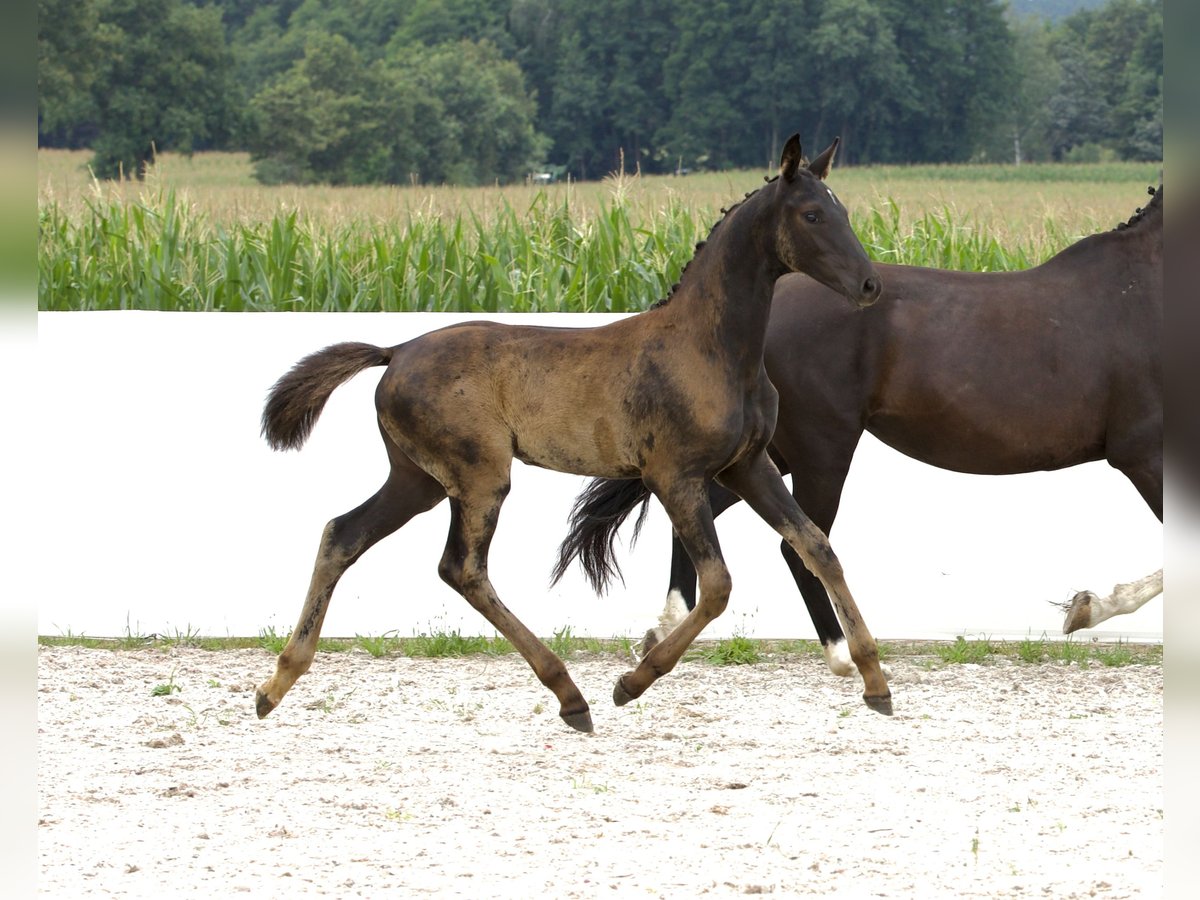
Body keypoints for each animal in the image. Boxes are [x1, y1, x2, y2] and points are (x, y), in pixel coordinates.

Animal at [559, 187, 1161, 672]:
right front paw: (1086, 610)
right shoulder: (1143, 456)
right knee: (801, 545)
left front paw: (1084, 607)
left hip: (766, 457)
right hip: (821, 450)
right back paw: (843, 655)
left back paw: (662, 632)